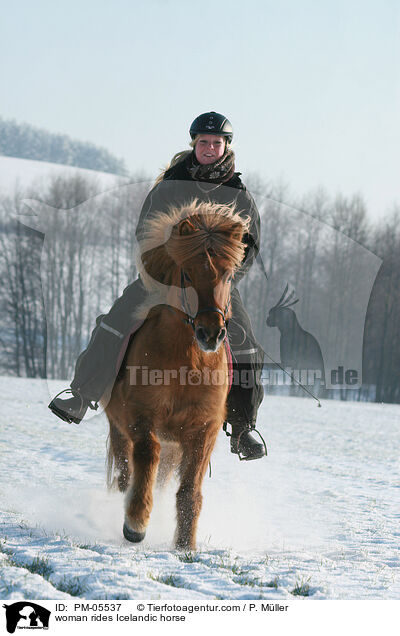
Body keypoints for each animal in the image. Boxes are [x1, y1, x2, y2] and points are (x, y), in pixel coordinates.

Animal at [103, 200, 248, 552]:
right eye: (187, 273)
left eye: (228, 275)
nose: (211, 333)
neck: (188, 363)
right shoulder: (140, 416)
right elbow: (147, 454)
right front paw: (136, 523)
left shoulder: (203, 430)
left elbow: (190, 491)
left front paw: (185, 546)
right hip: (119, 427)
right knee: (126, 472)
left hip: (175, 446)